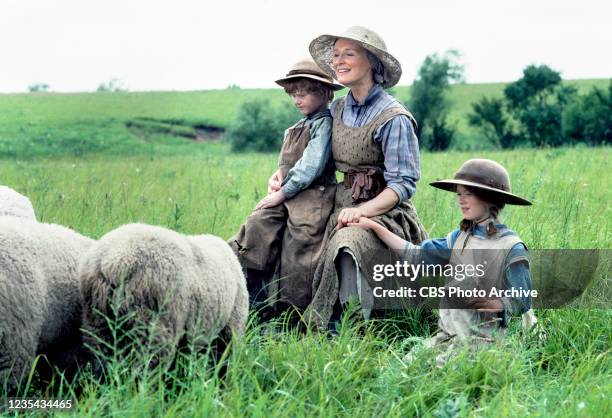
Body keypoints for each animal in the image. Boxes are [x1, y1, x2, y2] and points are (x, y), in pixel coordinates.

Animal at [79, 224, 249, 370]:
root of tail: (115, 263)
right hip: (153, 325)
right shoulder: (232, 328)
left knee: (103, 362)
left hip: (99, 323)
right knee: (144, 369)